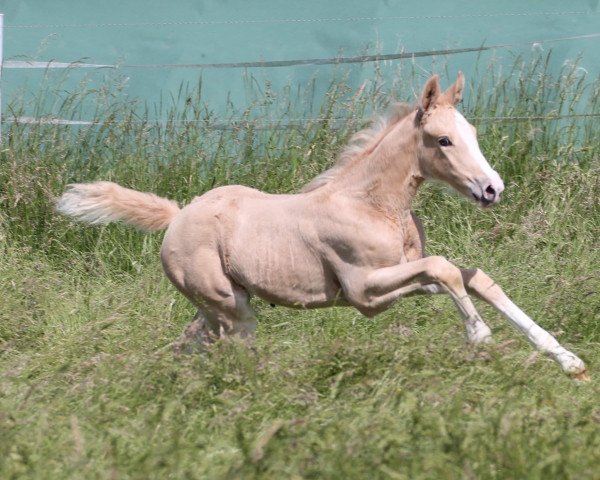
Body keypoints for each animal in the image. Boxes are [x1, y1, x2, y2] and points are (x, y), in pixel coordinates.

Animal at [56, 72, 584, 378]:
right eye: (443, 140)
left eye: (472, 132)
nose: (492, 189)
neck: (373, 205)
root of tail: (176, 215)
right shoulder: (365, 291)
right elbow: (445, 268)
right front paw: (480, 338)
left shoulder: (399, 278)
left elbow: (472, 277)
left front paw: (567, 360)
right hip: (230, 309)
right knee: (232, 351)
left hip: (212, 309)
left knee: (188, 347)